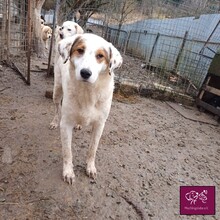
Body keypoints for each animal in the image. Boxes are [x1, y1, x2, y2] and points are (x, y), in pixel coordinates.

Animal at [53, 33, 122, 184]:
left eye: (100, 56)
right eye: (80, 50)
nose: (85, 73)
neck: (88, 92)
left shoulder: (100, 124)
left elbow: (92, 149)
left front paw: (90, 168)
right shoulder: (66, 124)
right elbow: (67, 152)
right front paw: (68, 172)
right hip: (57, 90)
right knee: (56, 106)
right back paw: (54, 121)